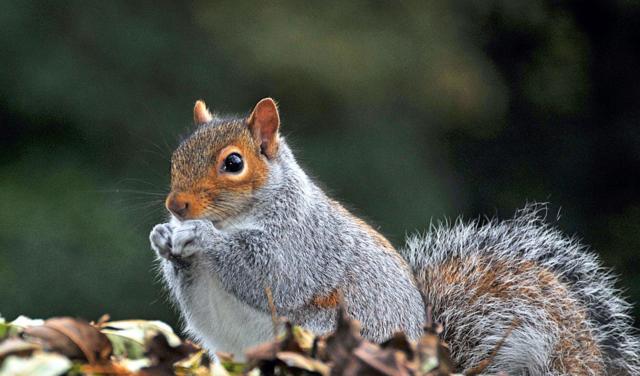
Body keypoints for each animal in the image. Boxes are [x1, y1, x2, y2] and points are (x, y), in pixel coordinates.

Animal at [151, 98, 640, 374]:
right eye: (174, 157)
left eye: (234, 163)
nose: (175, 207)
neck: (236, 219)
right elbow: (201, 301)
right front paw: (165, 240)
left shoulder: (302, 245)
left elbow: (266, 273)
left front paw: (201, 237)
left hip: (322, 339)